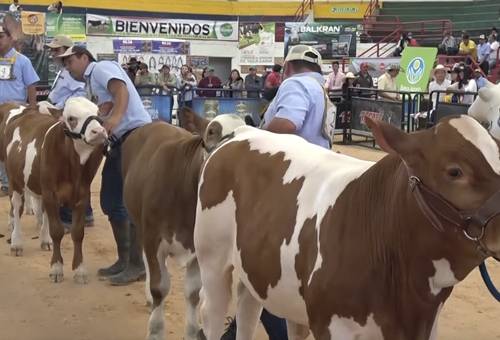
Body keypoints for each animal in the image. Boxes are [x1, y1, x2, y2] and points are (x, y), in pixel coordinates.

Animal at [0, 97, 106, 284]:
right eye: (71, 118)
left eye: (98, 113)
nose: (99, 131)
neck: (72, 166)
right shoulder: (50, 194)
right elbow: (56, 231)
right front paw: (56, 268)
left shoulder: (82, 196)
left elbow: (78, 233)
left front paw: (79, 270)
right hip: (15, 180)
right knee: (17, 208)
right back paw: (16, 242)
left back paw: (44, 240)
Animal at [121, 109, 246, 340]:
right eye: (211, 132)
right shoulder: (153, 238)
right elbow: (159, 287)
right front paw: (155, 331)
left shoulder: (198, 247)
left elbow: (193, 293)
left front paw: (192, 330)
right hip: (140, 224)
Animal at [193, 116, 500, 340]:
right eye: (455, 171)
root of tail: (241, 132)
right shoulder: (333, 326)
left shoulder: (428, 324)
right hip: (212, 259)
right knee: (211, 311)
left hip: (254, 266)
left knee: (248, 310)